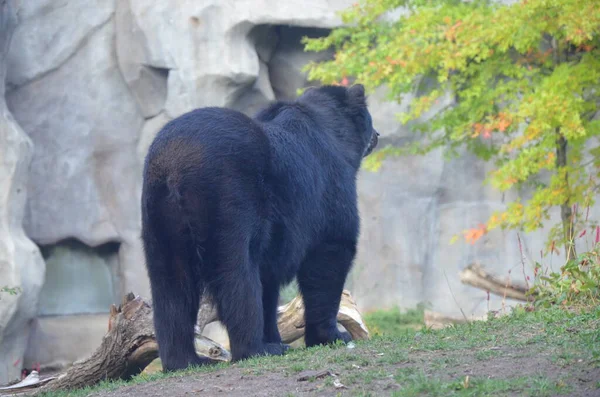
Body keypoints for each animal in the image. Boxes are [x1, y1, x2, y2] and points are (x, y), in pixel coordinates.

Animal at [139, 83, 380, 372]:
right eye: (371, 120)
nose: (377, 135)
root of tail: (175, 165)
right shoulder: (328, 186)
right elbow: (331, 250)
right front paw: (333, 335)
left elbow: (269, 280)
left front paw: (277, 337)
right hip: (229, 199)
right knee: (237, 275)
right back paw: (256, 349)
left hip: (160, 215)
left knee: (170, 283)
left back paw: (185, 360)